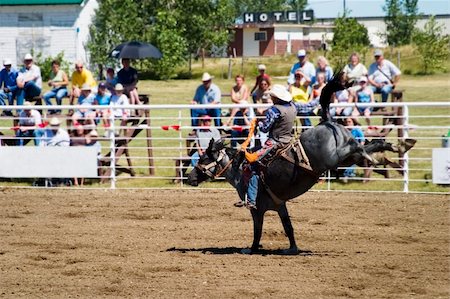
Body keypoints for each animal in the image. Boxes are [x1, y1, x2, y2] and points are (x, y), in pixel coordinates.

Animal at [186, 72, 400, 255]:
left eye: (204, 158)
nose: (190, 177)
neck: (239, 170)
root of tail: (327, 122)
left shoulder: (256, 209)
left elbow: (257, 230)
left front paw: (251, 249)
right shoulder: (279, 204)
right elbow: (288, 227)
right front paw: (292, 249)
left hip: (335, 157)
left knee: (358, 148)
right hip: (346, 158)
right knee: (368, 147)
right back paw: (391, 147)